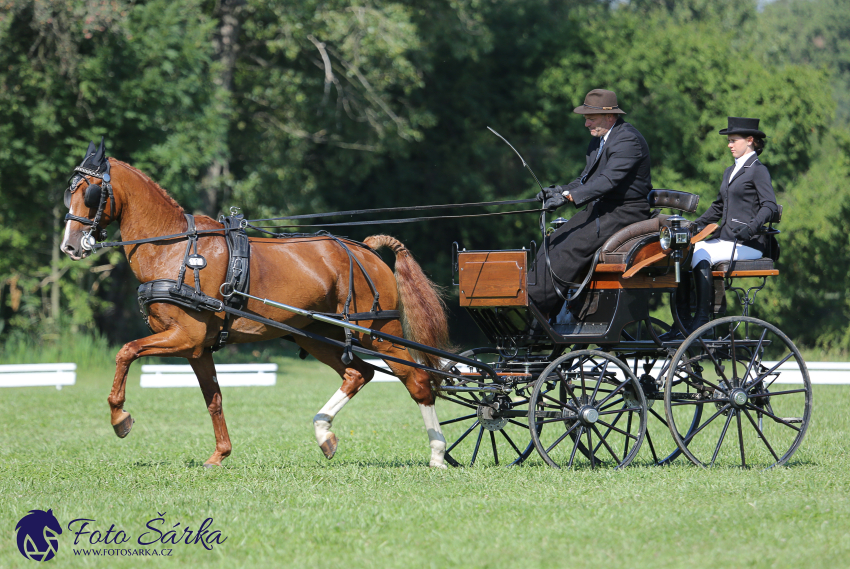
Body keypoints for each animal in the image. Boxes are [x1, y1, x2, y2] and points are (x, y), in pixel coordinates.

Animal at [60, 141, 450, 466]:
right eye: (69, 192)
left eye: (90, 193)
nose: (70, 246)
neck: (176, 250)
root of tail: (366, 251)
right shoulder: (197, 349)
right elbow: (214, 399)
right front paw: (220, 454)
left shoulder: (184, 336)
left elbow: (125, 352)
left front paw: (120, 419)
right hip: (315, 333)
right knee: (359, 373)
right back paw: (324, 433)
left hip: (378, 333)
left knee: (417, 380)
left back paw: (437, 454)